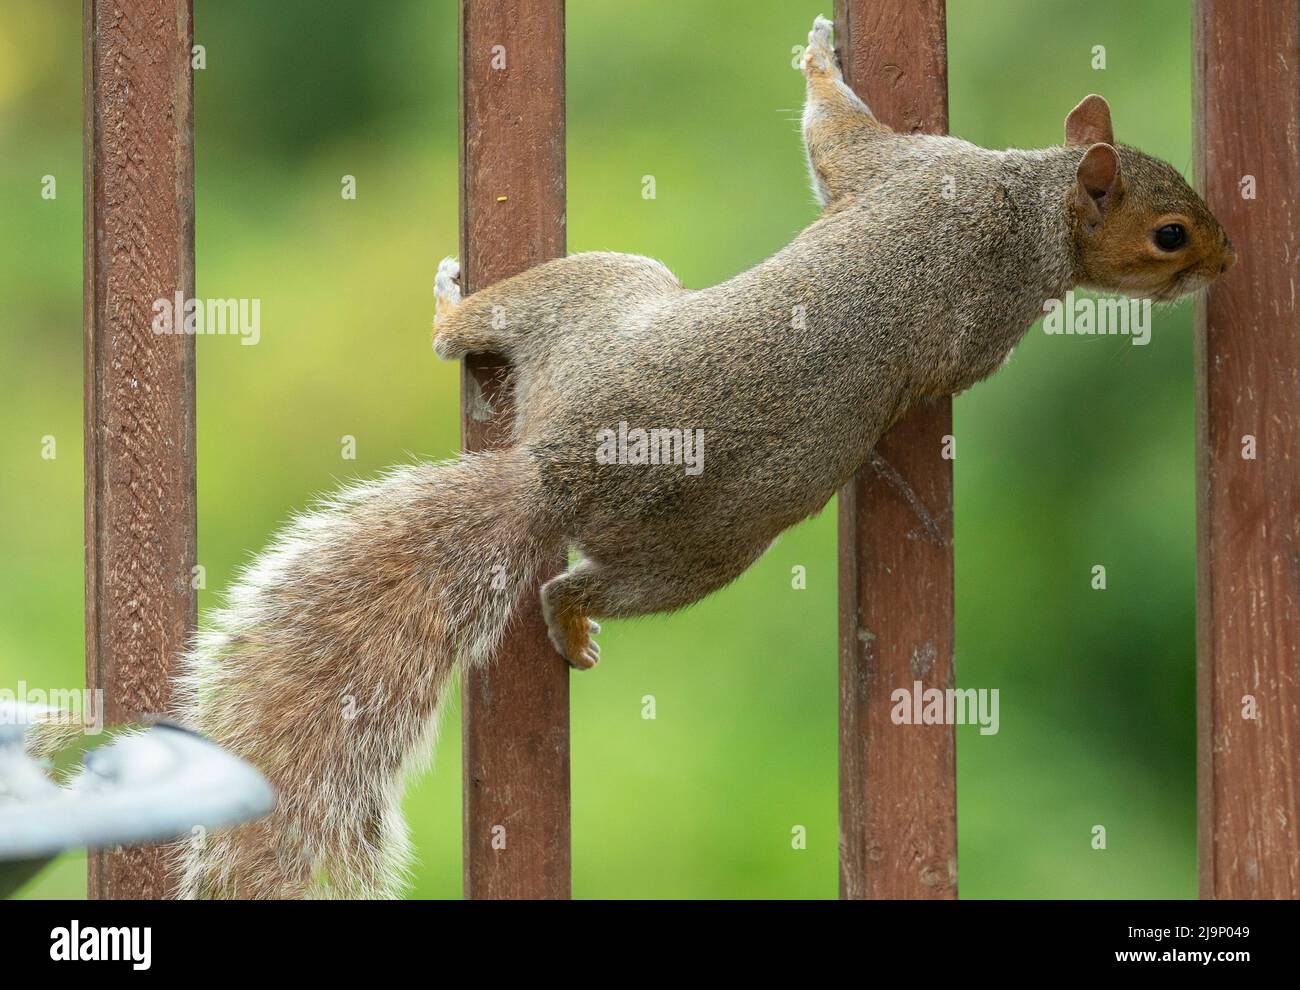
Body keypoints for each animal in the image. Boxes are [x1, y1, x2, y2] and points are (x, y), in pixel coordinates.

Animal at [175, 16, 1235, 898]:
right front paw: (819, 56)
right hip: (638, 367)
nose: (1226, 261)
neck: (1029, 202)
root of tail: (553, 465)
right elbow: (837, 141)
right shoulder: (918, 182)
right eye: (1170, 232)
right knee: (528, 503)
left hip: (659, 488)